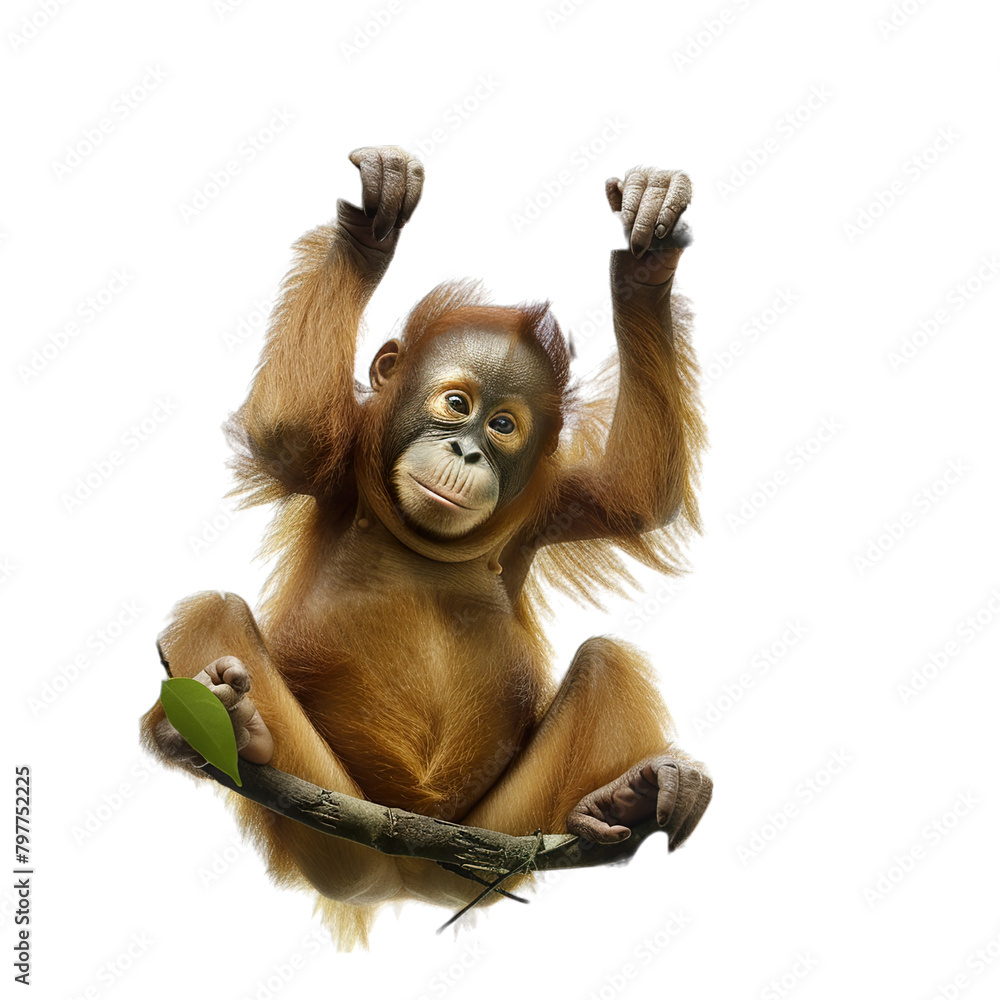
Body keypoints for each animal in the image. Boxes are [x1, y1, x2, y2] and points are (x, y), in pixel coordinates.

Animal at [141, 145, 711, 949]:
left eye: (503, 425)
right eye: (456, 403)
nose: (467, 451)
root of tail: (402, 877)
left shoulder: (545, 509)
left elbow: (636, 490)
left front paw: (647, 251)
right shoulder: (333, 465)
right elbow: (287, 428)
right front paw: (372, 222)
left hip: (495, 841)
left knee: (608, 659)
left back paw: (621, 797)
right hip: (328, 830)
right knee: (211, 613)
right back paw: (238, 733)